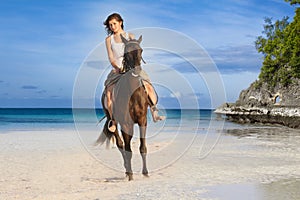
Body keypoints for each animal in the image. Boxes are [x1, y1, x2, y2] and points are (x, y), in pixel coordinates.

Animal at [96, 34, 150, 181]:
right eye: (126, 53)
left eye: (141, 50)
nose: (137, 71)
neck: (133, 93)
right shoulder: (126, 124)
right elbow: (127, 149)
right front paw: (130, 174)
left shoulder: (142, 122)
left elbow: (143, 148)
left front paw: (145, 172)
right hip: (114, 123)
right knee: (121, 145)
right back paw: (127, 170)